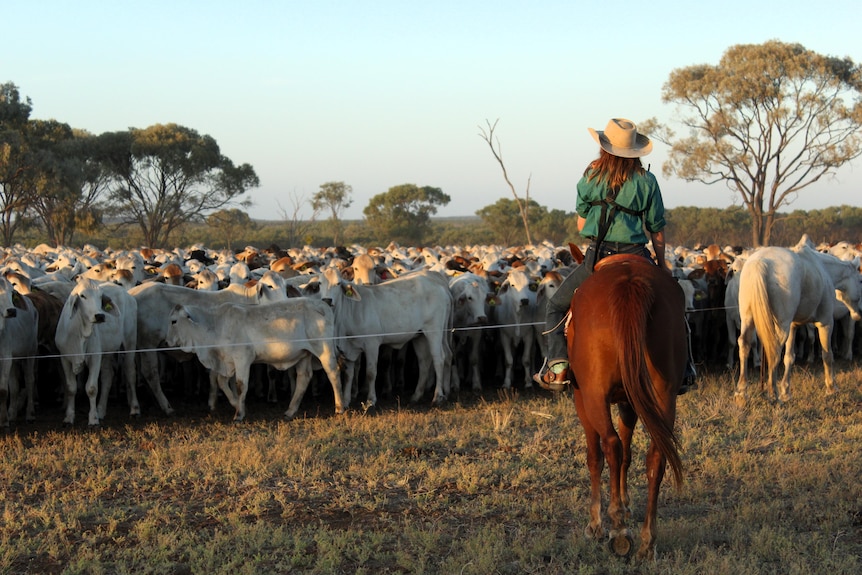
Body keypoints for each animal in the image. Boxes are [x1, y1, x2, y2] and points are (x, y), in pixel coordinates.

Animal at [568, 254, 688, 560]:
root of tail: (628, 282)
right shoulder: (629, 401)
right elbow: (627, 453)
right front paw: (623, 503)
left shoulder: (582, 397)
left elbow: (596, 455)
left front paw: (597, 523)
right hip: (664, 394)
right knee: (655, 456)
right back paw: (647, 542)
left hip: (594, 395)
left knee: (610, 445)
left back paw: (618, 532)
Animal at [736, 240, 862, 404]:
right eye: (860, 280)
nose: (858, 313)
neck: (823, 269)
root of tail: (760, 262)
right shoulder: (826, 323)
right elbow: (827, 355)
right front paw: (831, 387)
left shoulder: (793, 326)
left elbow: (789, 357)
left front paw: (786, 391)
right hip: (781, 325)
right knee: (774, 348)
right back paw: (772, 392)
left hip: (748, 319)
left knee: (744, 344)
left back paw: (742, 392)